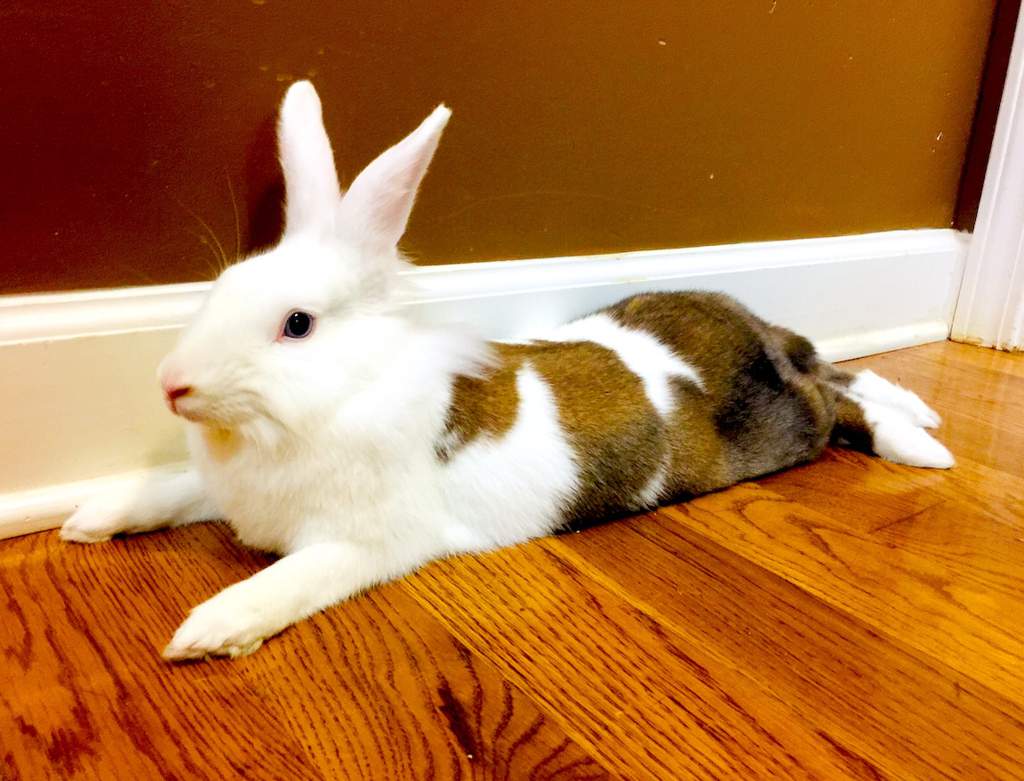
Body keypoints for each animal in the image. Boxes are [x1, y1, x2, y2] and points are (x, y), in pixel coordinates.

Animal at [60, 81, 954, 660]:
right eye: (223, 285)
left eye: (297, 325)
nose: (172, 383)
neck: (338, 396)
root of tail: (749, 326)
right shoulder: (221, 491)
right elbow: (172, 489)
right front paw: (91, 518)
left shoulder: (365, 542)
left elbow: (290, 581)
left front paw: (207, 629)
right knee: (840, 374)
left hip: (786, 427)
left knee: (838, 399)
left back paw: (923, 444)